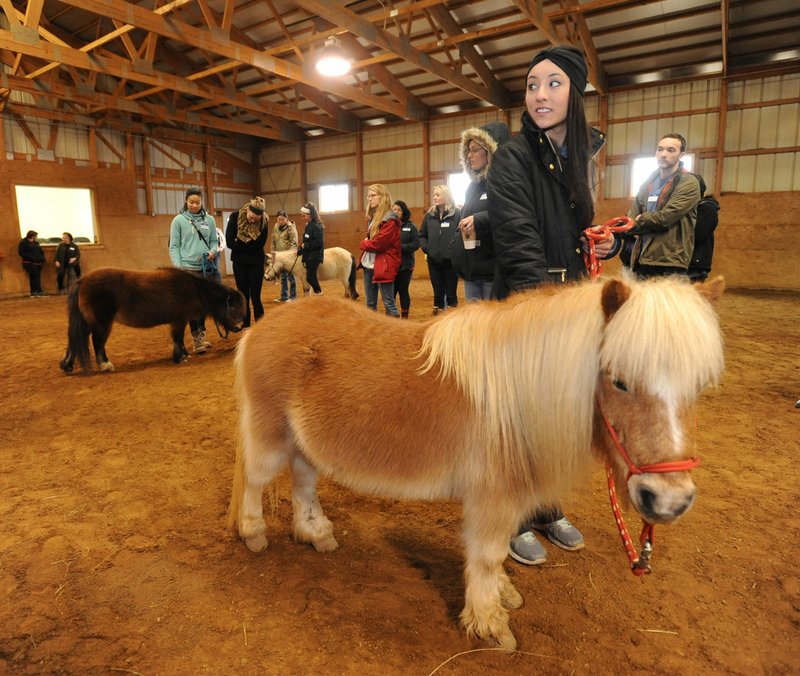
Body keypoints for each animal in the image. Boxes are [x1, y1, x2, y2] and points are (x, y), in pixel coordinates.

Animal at [59, 268, 245, 374]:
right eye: (234, 308)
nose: (239, 327)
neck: (193, 289)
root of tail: (82, 280)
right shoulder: (179, 320)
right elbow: (178, 338)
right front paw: (180, 357)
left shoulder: (179, 320)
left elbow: (180, 339)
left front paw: (184, 354)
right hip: (102, 323)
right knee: (97, 343)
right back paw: (105, 365)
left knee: (75, 341)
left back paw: (67, 366)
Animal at [227, 274, 724, 648]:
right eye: (619, 380)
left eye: (699, 385)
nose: (669, 501)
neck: (520, 396)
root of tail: (261, 326)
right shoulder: (494, 498)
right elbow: (486, 556)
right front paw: (488, 623)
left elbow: (498, 554)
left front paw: (501, 596)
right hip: (270, 436)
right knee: (255, 479)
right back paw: (254, 534)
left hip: (303, 442)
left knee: (303, 483)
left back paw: (315, 534)